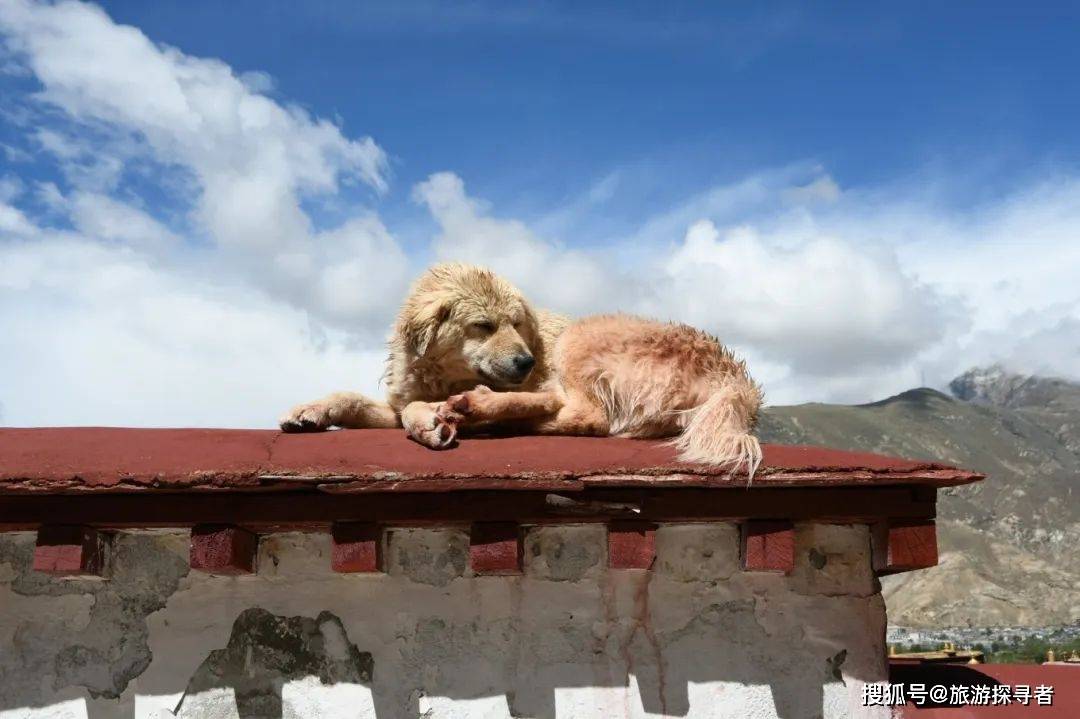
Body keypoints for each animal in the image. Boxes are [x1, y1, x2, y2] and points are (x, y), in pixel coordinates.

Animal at [282, 262, 764, 475]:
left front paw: (432, 422)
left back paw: (484, 414)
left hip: (580, 338)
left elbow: (417, 411)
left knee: (582, 415)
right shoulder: (397, 401)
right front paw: (309, 412)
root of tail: (737, 378)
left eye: (517, 323)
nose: (527, 360)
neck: (442, 375)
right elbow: (357, 399)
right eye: (483, 325)